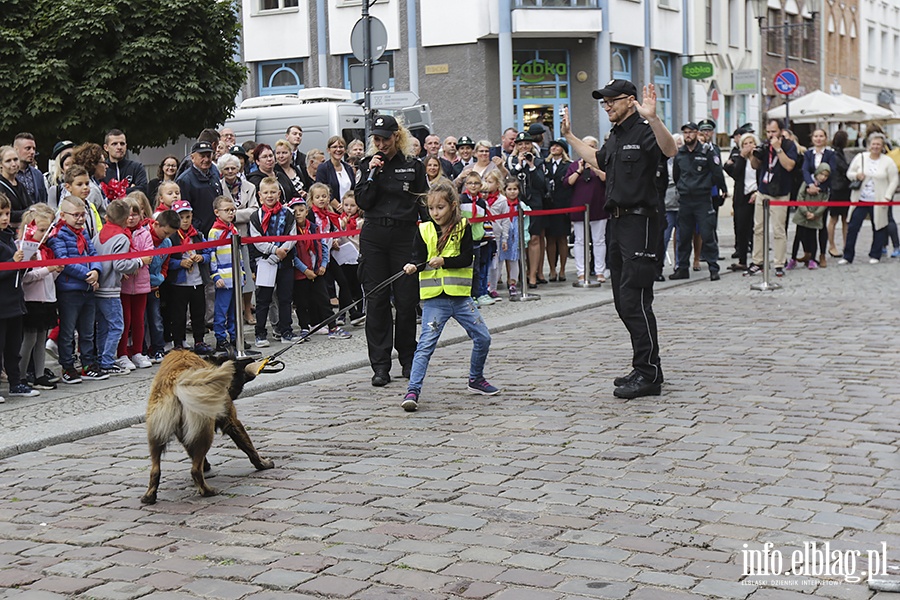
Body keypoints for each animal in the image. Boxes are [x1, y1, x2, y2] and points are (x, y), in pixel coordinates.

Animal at [141, 350, 272, 504]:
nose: (253, 359)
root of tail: (175, 380)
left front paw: (206, 465)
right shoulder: (232, 420)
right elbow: (249, 447)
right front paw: (263, 464)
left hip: (156, 437)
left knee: (155, 470)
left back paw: (149, 496)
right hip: (205, 431)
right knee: (195, 470)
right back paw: (207, 491)